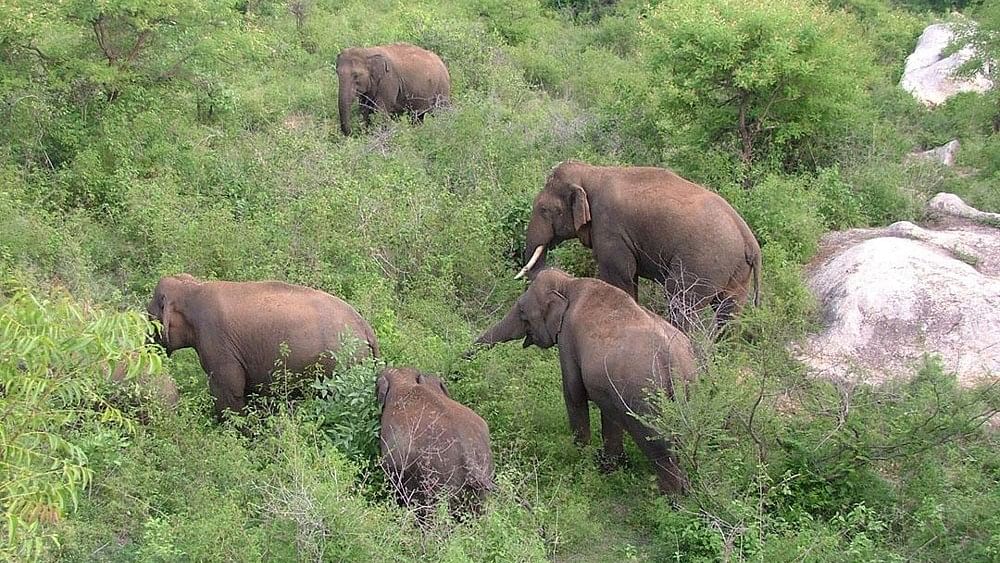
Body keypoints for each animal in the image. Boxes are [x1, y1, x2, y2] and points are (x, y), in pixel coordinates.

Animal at [147, 276, 378, 416]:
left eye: (149, 317)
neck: (193, 288)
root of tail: (366, 328)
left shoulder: (217, 343)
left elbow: (229, 394)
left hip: (341, 365)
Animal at [470, 268, 696, 494]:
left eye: (522, 311)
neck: (568, 282)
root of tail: (673, 361)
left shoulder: (567, 338)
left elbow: (574, 393)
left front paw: (580, 460)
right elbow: (609, 413)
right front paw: (609, 467)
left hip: (644, 397)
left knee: (660, 449)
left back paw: (669, 498)